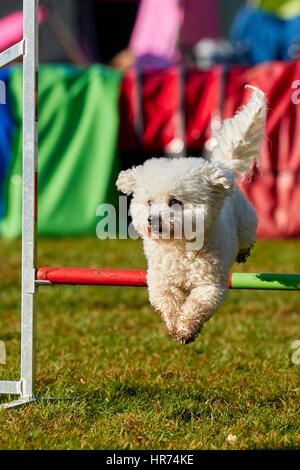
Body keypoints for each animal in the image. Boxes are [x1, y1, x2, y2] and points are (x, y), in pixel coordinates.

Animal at [116, 85, 266, 342]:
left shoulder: (209, 285)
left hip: (246, 223)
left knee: (247, 239)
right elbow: (167, 301)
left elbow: (197, 304)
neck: (180, 247)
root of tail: (221, 168)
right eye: (149, 202)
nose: (151, 220)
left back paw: (243, 252)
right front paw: (174, 324)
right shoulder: (162, 281)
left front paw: (186, 329)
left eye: (174, 201)